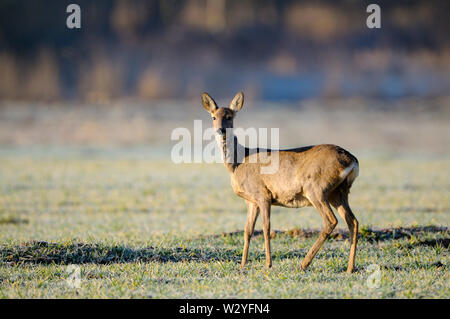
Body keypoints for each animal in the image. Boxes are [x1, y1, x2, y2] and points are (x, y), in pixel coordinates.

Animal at [202, 91, 360, 274]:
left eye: (229, 116)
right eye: (213, 117)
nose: (220, 130)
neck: (239, 162)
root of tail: (352, 161)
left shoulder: (263, 194)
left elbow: (266, 228)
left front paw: (268, 264)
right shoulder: (251, 200)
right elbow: (247, 230)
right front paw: (242, 264)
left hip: (317, 189)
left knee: (331, 221)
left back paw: (304, 264)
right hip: (339, 192)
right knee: (353, 222)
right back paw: (350, 268)